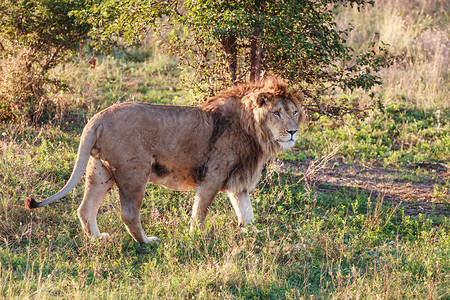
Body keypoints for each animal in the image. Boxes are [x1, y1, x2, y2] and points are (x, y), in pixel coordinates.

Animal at [24, 76, 306, 243]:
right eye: (276, 113)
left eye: (294, 112)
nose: (293, 132)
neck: (256, 132)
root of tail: (97, 118)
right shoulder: (213, 174)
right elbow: (200, 210)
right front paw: (195, 236)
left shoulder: (238, 180)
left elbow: (246, 211)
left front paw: (255, 234)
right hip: (134, 173)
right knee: (129, 213)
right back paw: (146, 242)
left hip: (100, 172)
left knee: (85, 208)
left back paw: (97, 238)